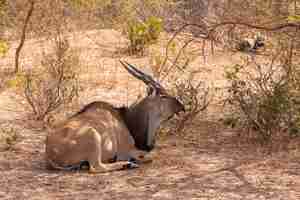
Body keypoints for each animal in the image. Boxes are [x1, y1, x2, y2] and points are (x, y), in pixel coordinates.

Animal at [45, 60, 185, 173]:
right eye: (163, 96)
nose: (182, 106)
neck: (126, 119)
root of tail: (50, 153)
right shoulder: (126, 151)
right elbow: (149, 157)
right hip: (92, 134)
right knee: (95, 167)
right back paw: (127, 165)